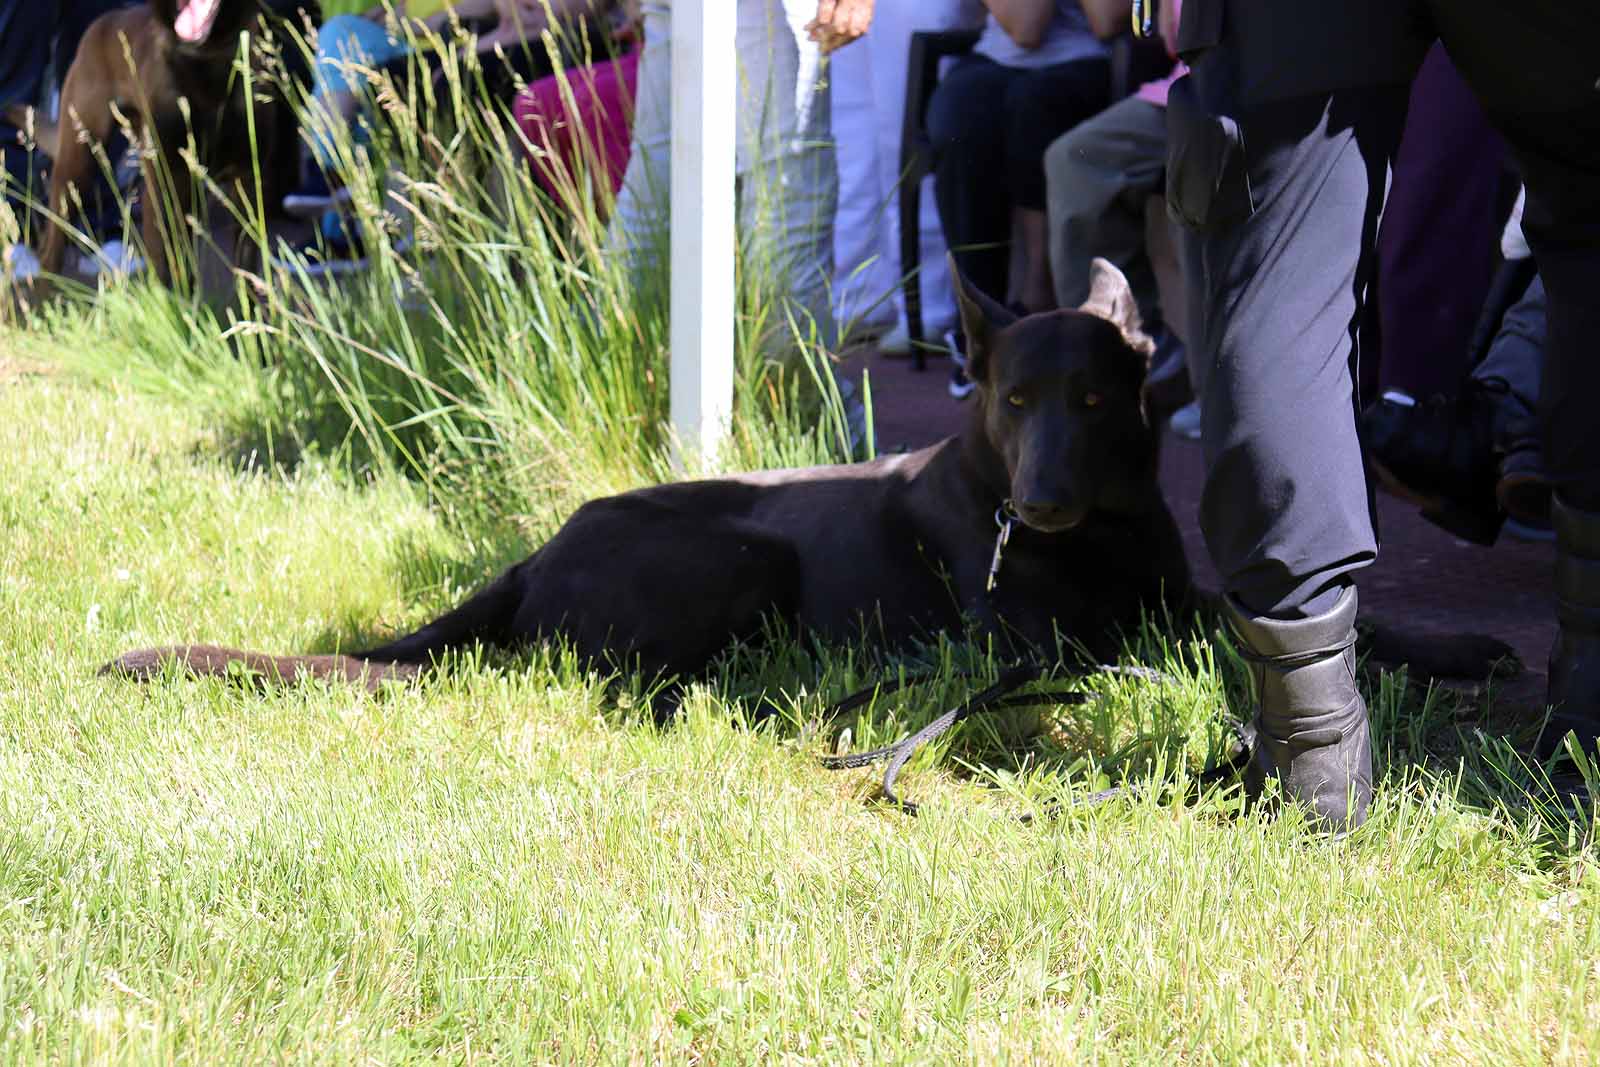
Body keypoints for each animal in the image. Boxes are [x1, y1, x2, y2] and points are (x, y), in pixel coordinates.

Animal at [36, 0, 272, 283]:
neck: (205, 59)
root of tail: (100, 23)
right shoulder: (164, 184)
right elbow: (166, 265)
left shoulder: (248, 181)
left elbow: (247, 270)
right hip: (77, 164)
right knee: (51, 249)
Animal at [106, 260, 1504, 700]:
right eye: (1013, 402)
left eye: (1098, 402)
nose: (1041, 503)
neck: (1093, 531)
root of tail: (533, 550)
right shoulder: (1047, 640)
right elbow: (1195, 640)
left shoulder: (1162, 585)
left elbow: (1317, 620)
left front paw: (1456, 647)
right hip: (745, 550)